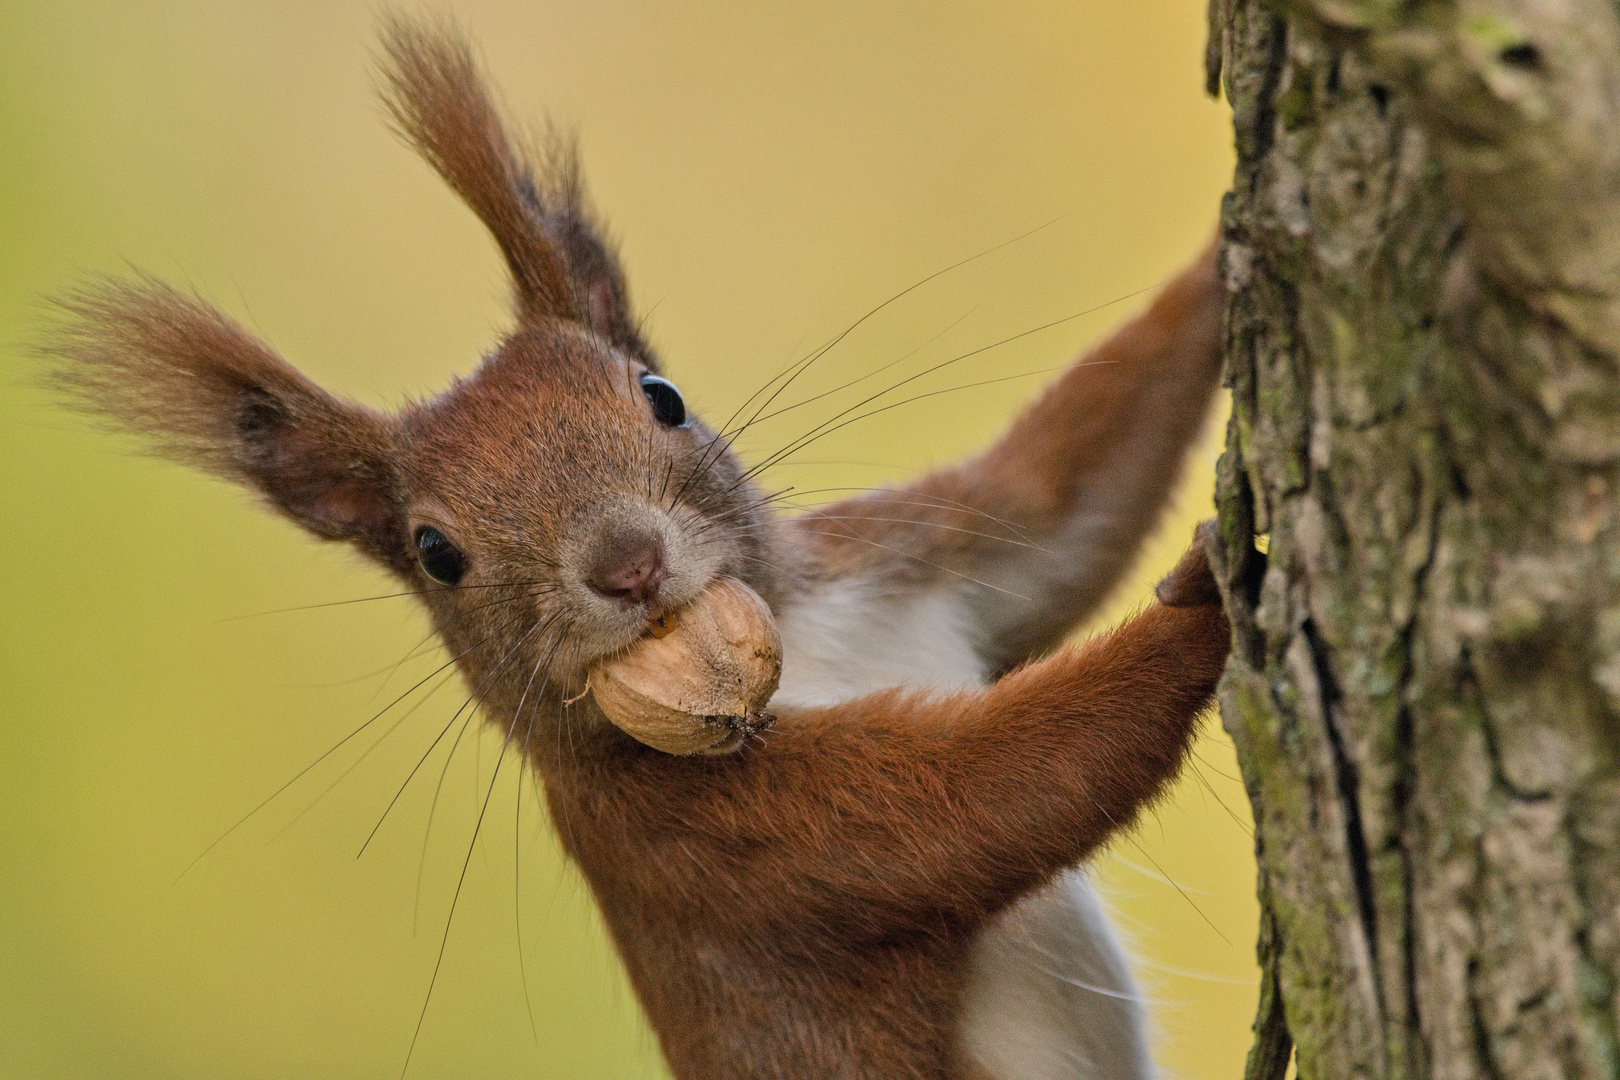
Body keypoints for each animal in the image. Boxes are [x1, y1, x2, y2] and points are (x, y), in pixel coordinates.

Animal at [47, 16, 1224, 1080]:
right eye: (435, 552)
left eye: (662, 397)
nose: (629, 565)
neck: (799, 638)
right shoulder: (706, 840)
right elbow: (990, 790)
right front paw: (1208, 603)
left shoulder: (904, 563)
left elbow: (1059, 505)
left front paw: (1225, 262)